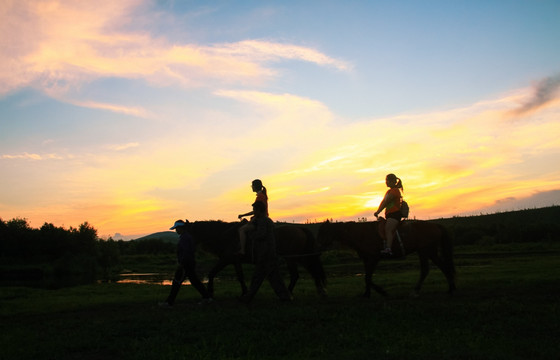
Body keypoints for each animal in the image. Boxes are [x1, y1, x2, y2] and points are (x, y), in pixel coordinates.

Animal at [188, 221, 328, 300]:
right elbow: (240, 277)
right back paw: (319, 291)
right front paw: (244, 293)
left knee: (299, 274)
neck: (225, 235)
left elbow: (212, 273)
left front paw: (210, 291)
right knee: (311, 271)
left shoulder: (225, 259)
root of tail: (300, 229)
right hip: (299, 258)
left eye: (189, 232)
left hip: (293, 258)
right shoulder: (235, 261)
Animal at [318, 219, 452, 298]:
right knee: (440, 267)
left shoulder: (374, 259)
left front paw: (381, 291)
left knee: (428, 269)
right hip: (428, 252)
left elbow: (368, 277)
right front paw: (367, 293)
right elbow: (367, 277)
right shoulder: (367, 259)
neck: (360, 233)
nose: (319, 247)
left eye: (323, 232)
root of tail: (435, 225)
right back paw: (450, 288)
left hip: (425, 251)